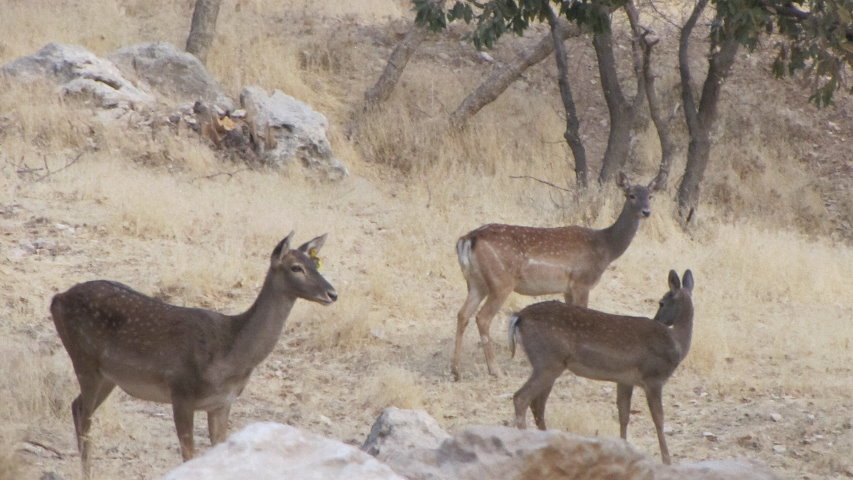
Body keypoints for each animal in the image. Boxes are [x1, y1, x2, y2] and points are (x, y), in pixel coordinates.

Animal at [50, 232, 337, 478]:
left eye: (316, 264)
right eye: (296, 267)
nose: (332, 293)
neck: (231, 355)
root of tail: (56, 299)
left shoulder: (223, 403)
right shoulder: (181, 391)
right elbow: (188, 456)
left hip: (109, 376)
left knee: (76, 406)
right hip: (84, 358)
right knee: (83, 414)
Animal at [451, 173, 662, 380]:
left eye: (650, 196)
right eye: (631, 195)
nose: (646, 211)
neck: (606, 248)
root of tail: (468, 239)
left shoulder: (568, 288)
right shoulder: (582, 281)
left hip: (476, 282)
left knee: (463, 314)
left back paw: (456, 371)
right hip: (501, 282)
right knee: (483, 317)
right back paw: (495, 370)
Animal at [508, 269, 694, 465]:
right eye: (661, 302)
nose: (658, 319)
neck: (677, 343)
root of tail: (519, 316)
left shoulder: (625, 380)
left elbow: (623, 415)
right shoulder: (654, 378)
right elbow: (658, 419)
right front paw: (667, 460)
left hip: (549, 364)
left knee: (537, 404)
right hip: (548, 361)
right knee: (521, 398)